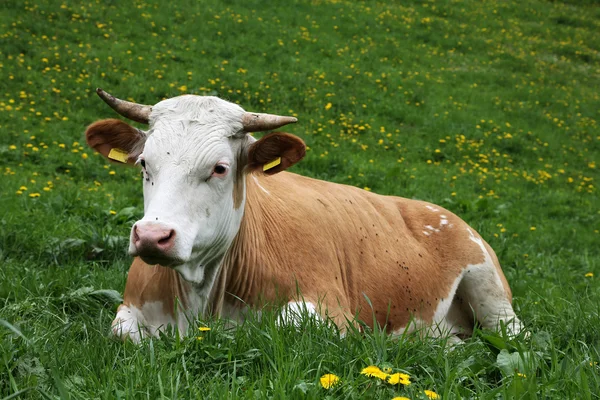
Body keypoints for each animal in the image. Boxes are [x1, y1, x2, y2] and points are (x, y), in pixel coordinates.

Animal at [83, 88, 520, 344]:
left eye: (220, 168)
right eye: (144, 163)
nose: (152, 236)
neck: (199, 298)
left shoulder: (331, 310)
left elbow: (284, 328)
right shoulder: (129, 311)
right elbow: (122, 334)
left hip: (492, 292)